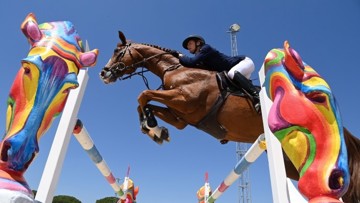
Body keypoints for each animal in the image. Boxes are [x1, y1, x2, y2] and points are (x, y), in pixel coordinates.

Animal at [99, 30, 360, 202]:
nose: (103, 73)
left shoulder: (185, 99)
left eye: (117, 51)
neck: (175, 69)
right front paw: (155, 130)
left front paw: (152, 126)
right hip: (292, 164)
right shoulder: (181, 117)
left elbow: (143, 95)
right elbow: (146, 103)